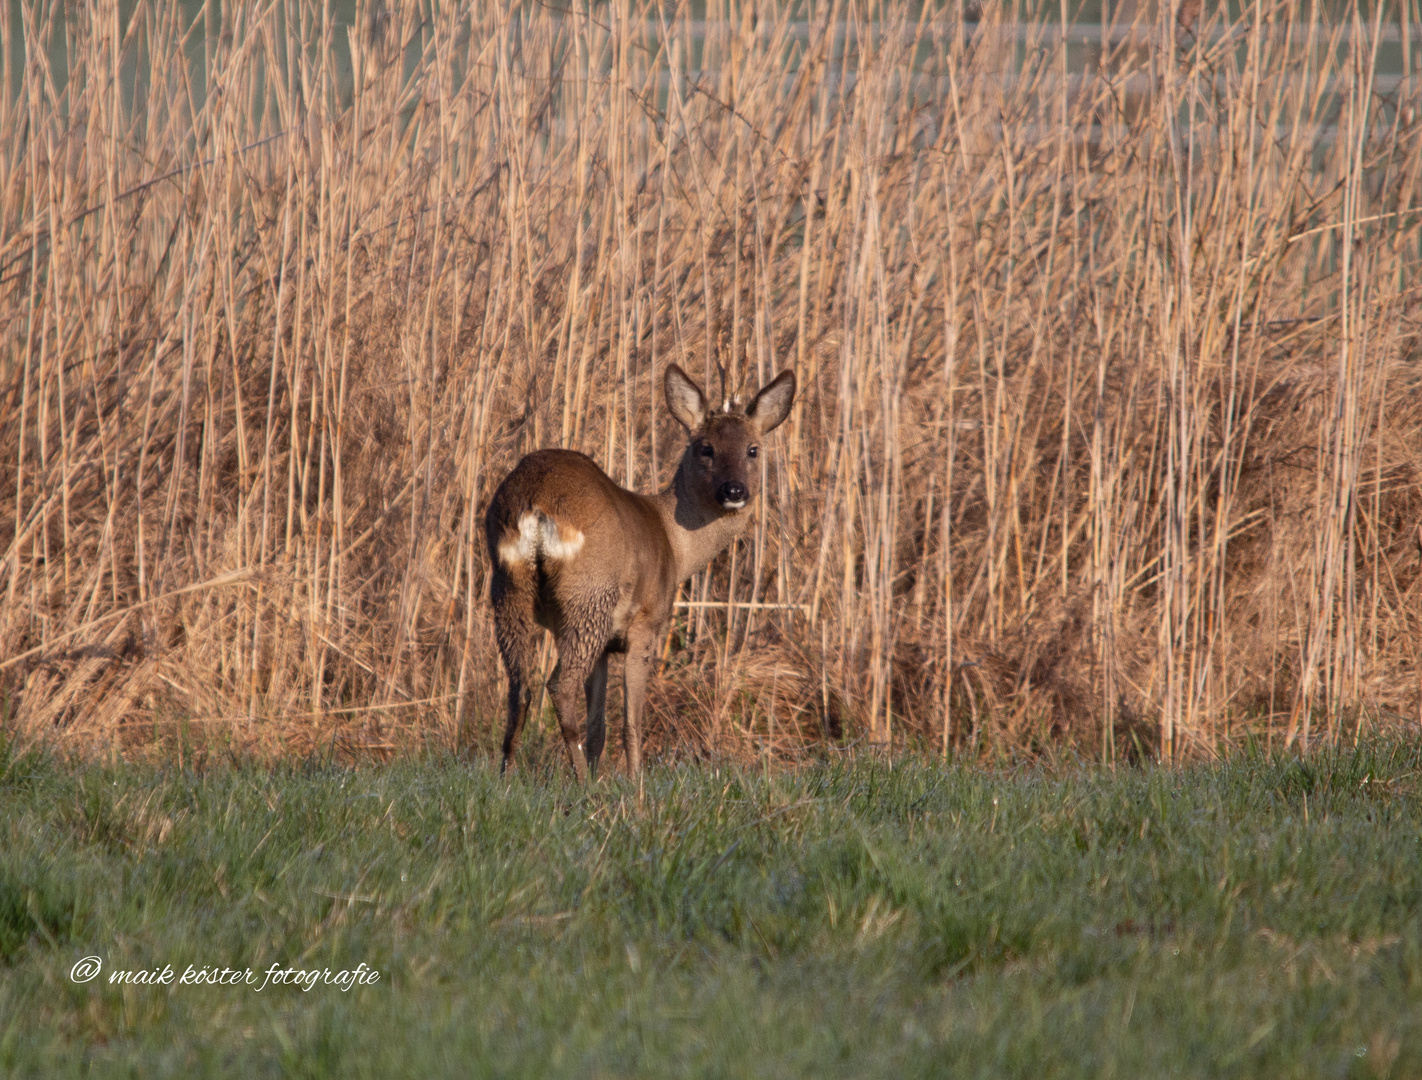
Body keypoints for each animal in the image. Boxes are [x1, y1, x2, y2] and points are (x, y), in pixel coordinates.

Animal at [483, 362, 796, 779]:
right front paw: (633, 782)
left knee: (520, 687)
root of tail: (535, 503)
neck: (675, 544)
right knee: (559, 685)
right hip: (590, 595)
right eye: (705, 448)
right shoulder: (645, 624)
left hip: (508, 587)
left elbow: (598, 725)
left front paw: (602, 775)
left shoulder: (605, 647)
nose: (734, 490)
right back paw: (579, 781)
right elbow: (631, 720)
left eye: (753, 449)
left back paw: (507, 778)